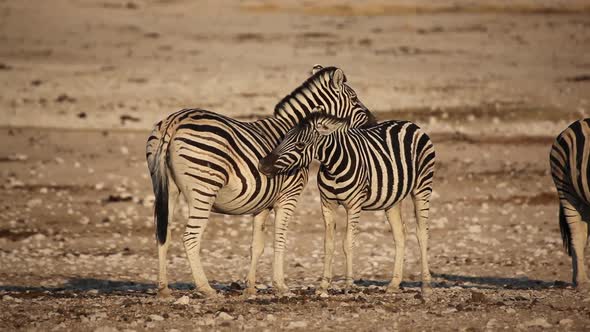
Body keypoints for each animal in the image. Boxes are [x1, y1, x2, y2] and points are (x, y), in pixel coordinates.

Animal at [146, 65, 376, 298]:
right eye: (354, 98)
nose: (374, 123)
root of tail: (175, 121)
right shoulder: (288, 196)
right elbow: (279, 239)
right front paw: (280, 285)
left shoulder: (263, 202)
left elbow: (256, 245)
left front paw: (250, 287)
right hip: (204, 189)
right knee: (190, 237)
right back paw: (206, 288)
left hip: (167, 189)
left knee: (162, 234)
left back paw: (163, 288)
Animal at [262, 112, 438, 296]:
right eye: (283, 138)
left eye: (300, 145)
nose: (262, 165)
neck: (333, 166)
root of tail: (410, 124)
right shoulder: (327, 205)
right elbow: (328, 244)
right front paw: (323, 285)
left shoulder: (354, 205)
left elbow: (347, 243)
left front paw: (348, 284)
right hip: (392, 200)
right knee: (400, 235)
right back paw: (394, 284)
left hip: (422, 187)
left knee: (422, 233)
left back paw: (426, 285)